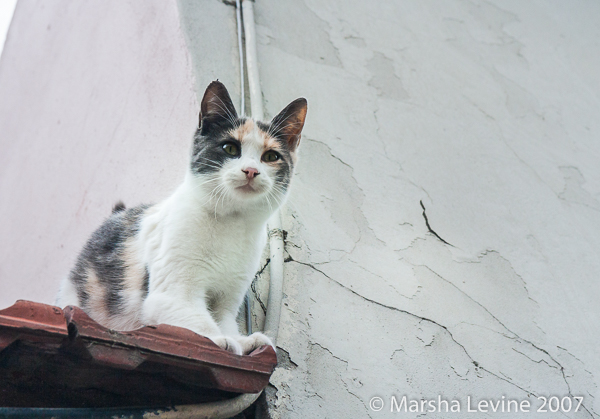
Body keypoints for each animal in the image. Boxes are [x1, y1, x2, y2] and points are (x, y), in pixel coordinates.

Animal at [56, 80, 308, 356]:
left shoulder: (227, 299)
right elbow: (199, 318)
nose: (251, 170)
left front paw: (242, 340)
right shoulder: (171, 295)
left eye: (271, 156)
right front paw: (223, 340)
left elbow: (224, 319)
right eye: (230, 148)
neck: (232, 223)